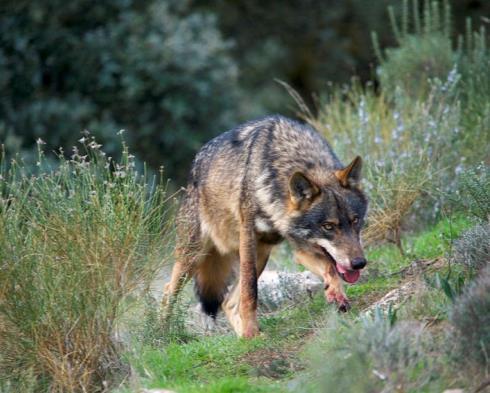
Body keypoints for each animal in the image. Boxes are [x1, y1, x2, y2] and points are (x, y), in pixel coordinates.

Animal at [164, 114, 368, 336]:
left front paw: (336, 294)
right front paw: (251, 331)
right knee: (168, 292)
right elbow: (250, 292)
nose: (359, 263)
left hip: (261, 254)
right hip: (194, 256)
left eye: (355, 220)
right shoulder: (248, 237)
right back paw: (162, 331)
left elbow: (330, 268)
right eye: (328, 226)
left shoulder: (301, 247)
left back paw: (244, 337)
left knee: (227, 303)